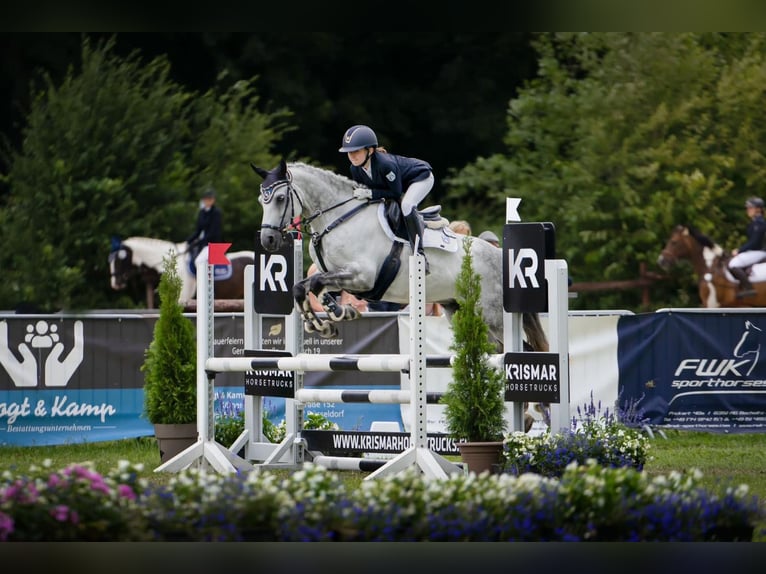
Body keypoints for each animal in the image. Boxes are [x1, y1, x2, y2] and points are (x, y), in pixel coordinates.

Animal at [254, 159, 552, 356]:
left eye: (280, 198)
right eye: (261, 201)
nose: (267, 240)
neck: (339, 218)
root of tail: (500, 255)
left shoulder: (362, 276)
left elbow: (315, 285)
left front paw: (327, 320)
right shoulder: (336, 275)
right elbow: (304, 287)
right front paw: (330, 319)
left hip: (493, 315)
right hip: (457, 309)